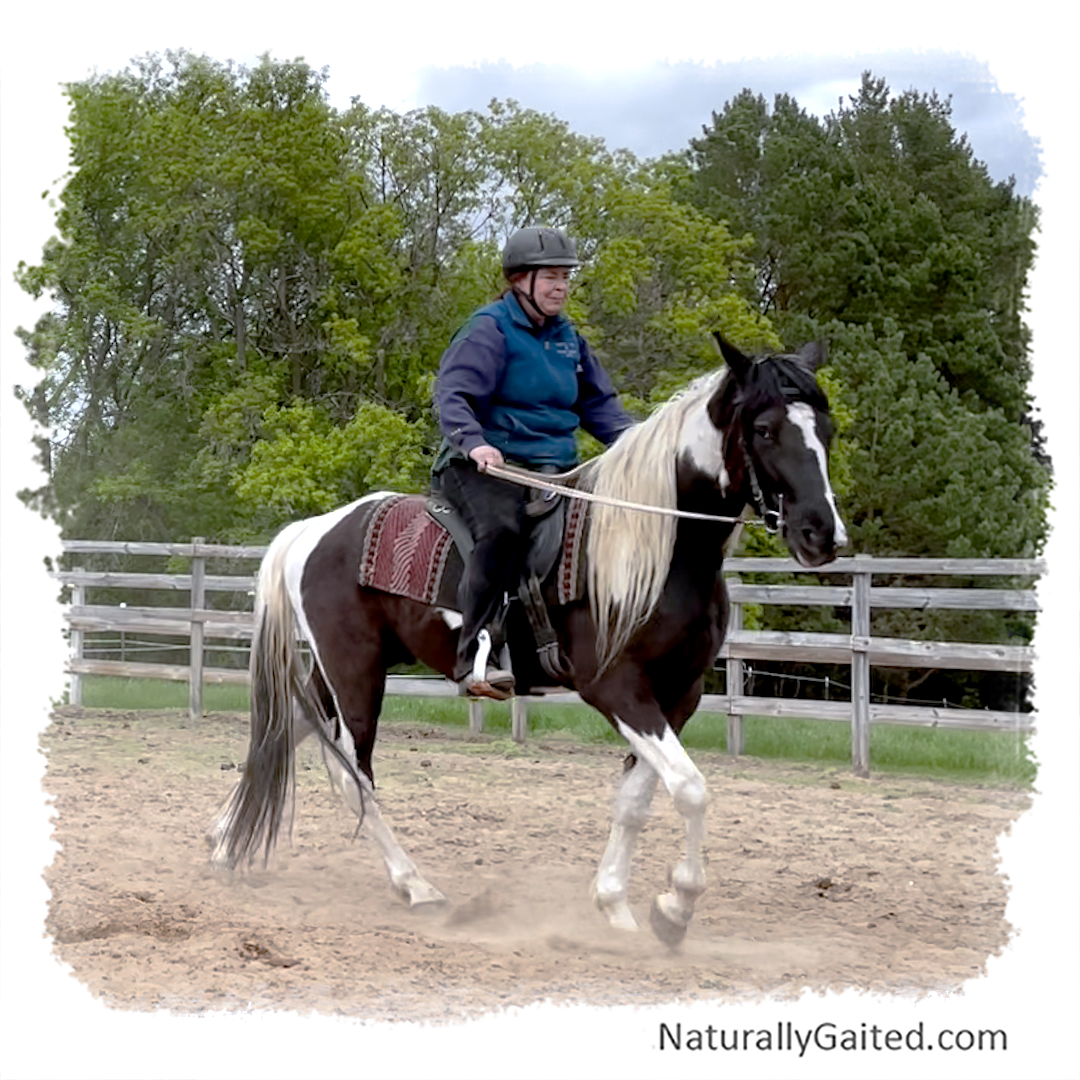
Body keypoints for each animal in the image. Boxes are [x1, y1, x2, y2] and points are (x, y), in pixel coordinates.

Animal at [208, 335, 847, 945]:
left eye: (827, 428)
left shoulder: (678, 693)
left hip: (339, 673)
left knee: (283, 731)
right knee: (351, 773)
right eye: (765, 429)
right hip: (354, 673)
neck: (652, 545)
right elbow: (690, 788)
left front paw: (616, 905)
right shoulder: (617, 688)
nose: (823, 533)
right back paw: (416, 886)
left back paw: (222, 839)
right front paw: (675, 909)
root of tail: (313, 530)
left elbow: (638, 799)